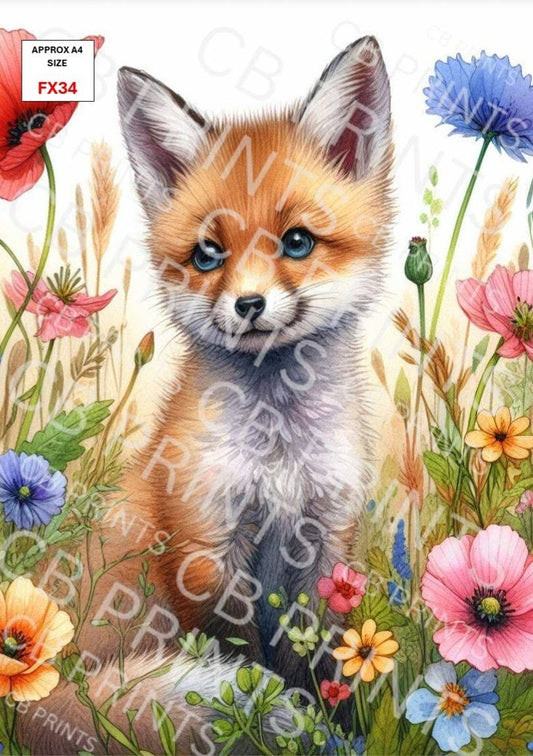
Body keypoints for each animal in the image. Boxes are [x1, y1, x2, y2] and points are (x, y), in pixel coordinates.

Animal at [22, 35, 393, 755]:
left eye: (297, 242)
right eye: (207, 256)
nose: (248, 304)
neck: (280, 453)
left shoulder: (327, 547)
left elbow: (327, 661)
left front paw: (338, 729)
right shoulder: (204, 550)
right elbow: (243, 662)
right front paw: (276, 722)